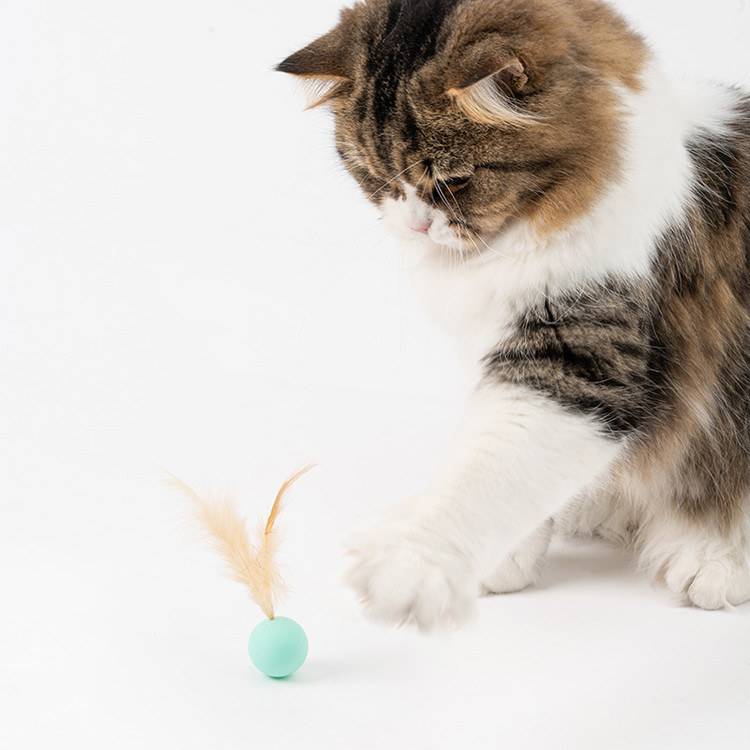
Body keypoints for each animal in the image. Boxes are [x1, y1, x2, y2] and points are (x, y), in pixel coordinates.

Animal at [277, 0, 750, 630]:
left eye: (451, 181)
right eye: (375, 178)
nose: (414, 226)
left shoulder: (578, 357)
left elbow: (490, 471)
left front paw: (406, 565)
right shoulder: (499, 352)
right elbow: (493, 452)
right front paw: (505, 559)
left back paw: (709, 558)